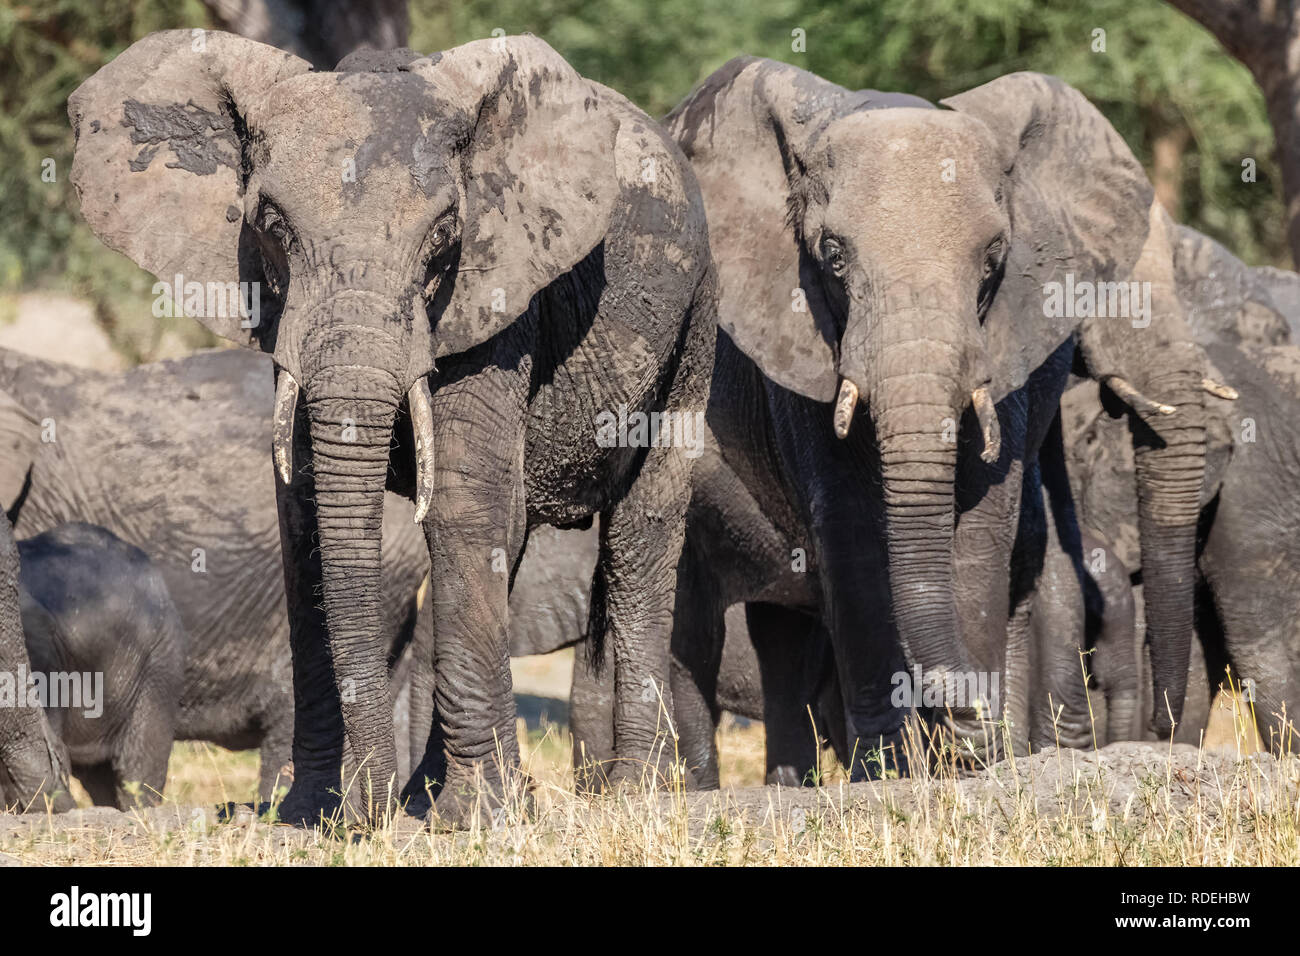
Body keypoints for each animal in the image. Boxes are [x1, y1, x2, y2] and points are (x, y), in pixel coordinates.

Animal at [68, 31, 722, 822]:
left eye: (444, 234)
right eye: (272, 226)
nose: (367, 810)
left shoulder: (498, 296)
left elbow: (462, 508)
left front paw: (480, 817)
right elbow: (307, 521)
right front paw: (313, 812)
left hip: (695, 317)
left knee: (640, 536)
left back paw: (630, 794)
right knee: (512, 536)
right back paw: (426, 793)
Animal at [642, 59, 1216, 790]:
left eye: (994, 256)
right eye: (832, 255)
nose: (963, 712)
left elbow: (982, 529)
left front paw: (972, 763)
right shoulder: (796, 348)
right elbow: (852, 532)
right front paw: (890, 773)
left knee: (780, 640)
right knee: (692, 627)